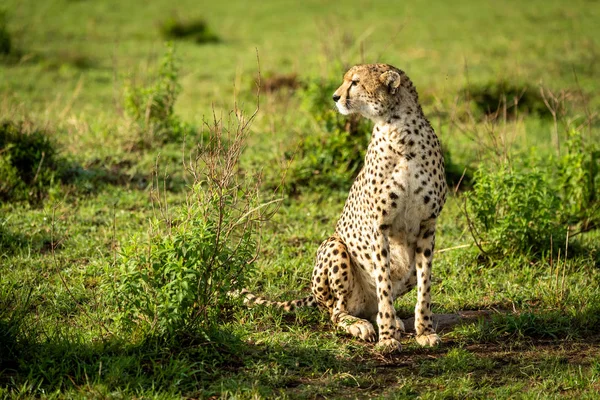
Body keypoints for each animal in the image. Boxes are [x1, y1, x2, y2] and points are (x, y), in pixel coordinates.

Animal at [244, 64, 446, 352]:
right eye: (346, 80)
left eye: (356, 82)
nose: (335, 97)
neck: (400, 132)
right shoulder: (379, 227)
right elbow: (384, 285)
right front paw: (387, 339)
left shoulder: (428, 225)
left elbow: (424, 285)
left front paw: (425, 331)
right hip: (334, 246)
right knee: (336, 311)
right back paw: (360, 324)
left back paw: (392, 320)